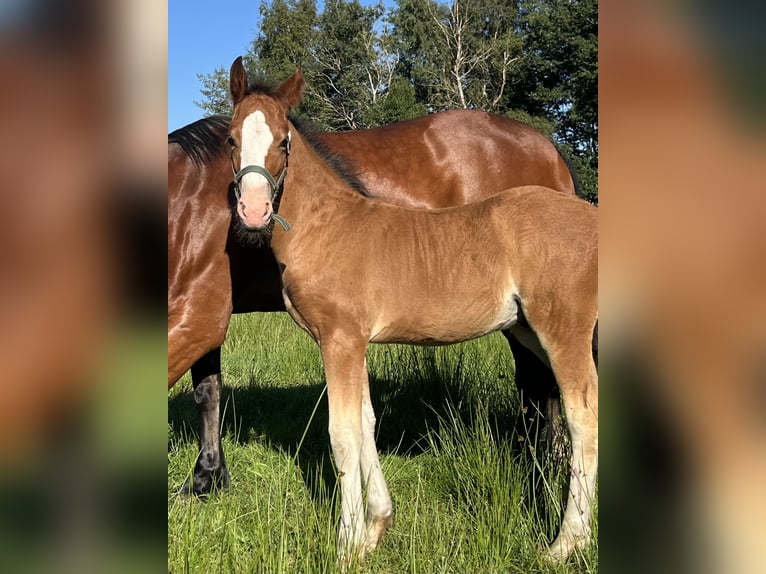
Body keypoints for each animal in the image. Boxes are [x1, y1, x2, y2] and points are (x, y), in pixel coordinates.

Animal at [168, 88, 580, 495]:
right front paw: (207, 475)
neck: (189, 196)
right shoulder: (203, 319)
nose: (252, 211)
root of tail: (549, 148)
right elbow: (208, 392)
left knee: (540, 384)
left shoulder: (201, 319)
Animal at [227, 59, 597, 562]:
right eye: (231, 139)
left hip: (564, 331)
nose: (254, 209)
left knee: (583, 419)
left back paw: (566, 542)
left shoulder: (339, 339)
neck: (329, 226)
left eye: (283, 141)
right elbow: (366, 423)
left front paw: (345, 547)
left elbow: (342, 434)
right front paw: (374, 529)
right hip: (528, 332)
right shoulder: (355, 343)